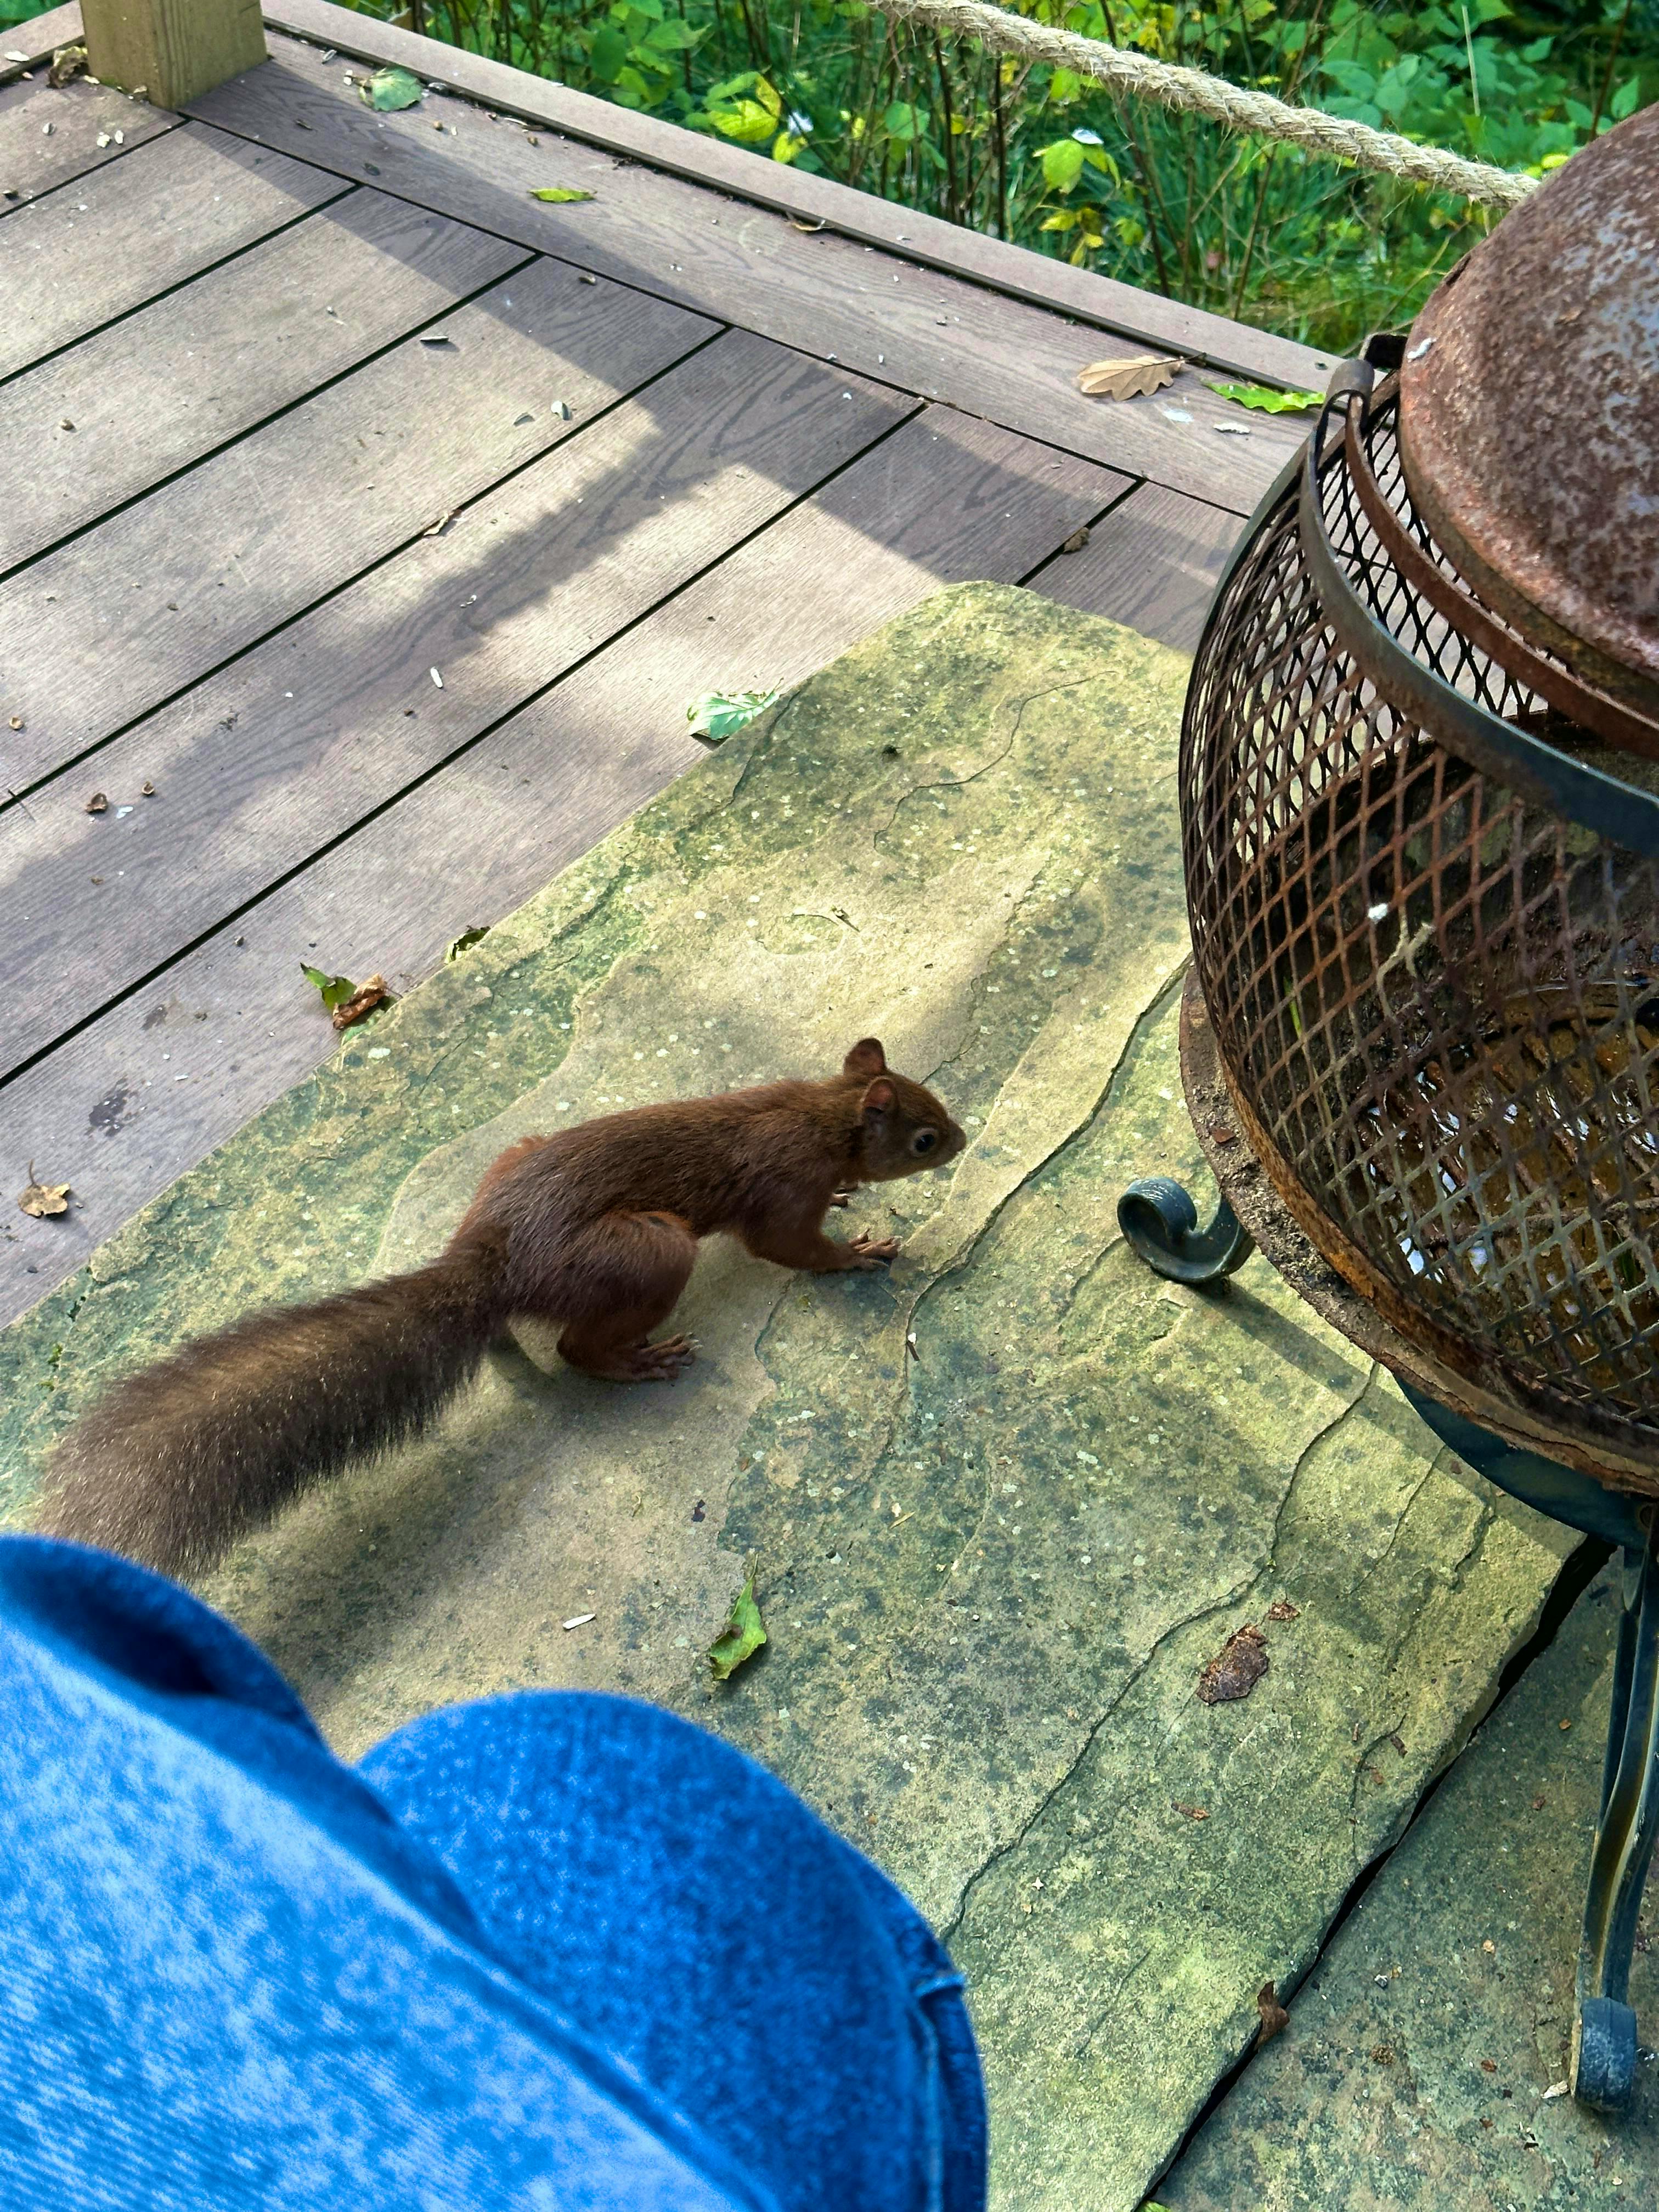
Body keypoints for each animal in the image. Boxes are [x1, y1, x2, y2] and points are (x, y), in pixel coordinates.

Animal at [37, 1038, 965, 1580]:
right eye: (923, 1137)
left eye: (940, 1107)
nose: (960, 1140)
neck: (821, 1115)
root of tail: (492, 1264)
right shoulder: (779, 1189)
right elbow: (787, 1248)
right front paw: (861, 1252)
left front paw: (850, 1201)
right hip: (648, 1250)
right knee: (576, 1350)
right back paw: (637, 1361)